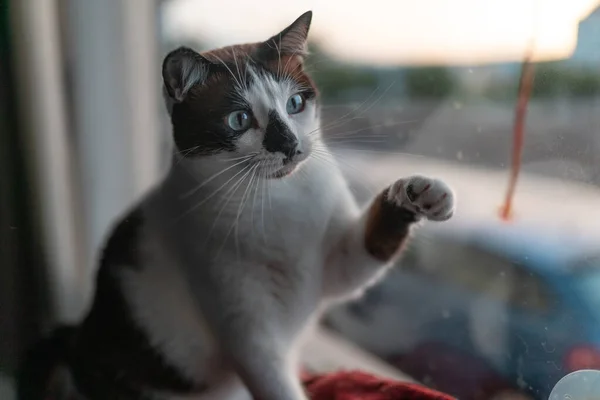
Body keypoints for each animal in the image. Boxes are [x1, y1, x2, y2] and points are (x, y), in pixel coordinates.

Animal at [18, 9, 454, 400]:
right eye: (239, 120)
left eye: (295, 104)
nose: (290, 145)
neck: (276, 201)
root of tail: (78, 336)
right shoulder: (248, 334)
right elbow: (275, 383)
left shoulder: (335, 265)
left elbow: (368, 245)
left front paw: (418, 194)